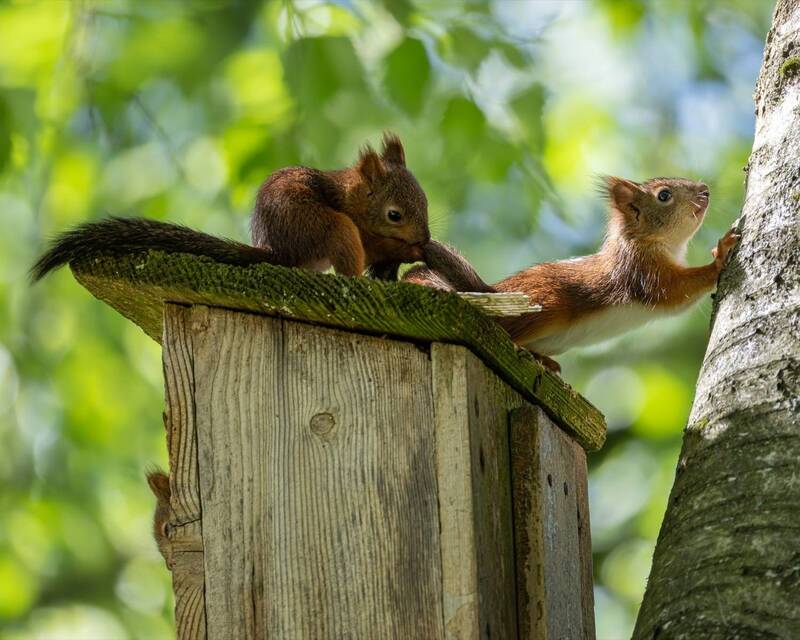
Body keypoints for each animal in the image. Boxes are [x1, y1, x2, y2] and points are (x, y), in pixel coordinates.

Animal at [30, 133, 429, 282]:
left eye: (424, 201)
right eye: (394, 214)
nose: (424, 237)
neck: (352, 197)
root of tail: (275, 250)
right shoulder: (357, 224)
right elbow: (375, 246)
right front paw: (407, 250)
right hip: (328, 227)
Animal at [404, 177, 740, 372]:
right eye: (664, 196)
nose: (705, 191)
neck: (649, 242)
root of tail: (491, 293)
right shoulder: (642, 273)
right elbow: (675, 292)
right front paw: (720, 256)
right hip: (544, 306)